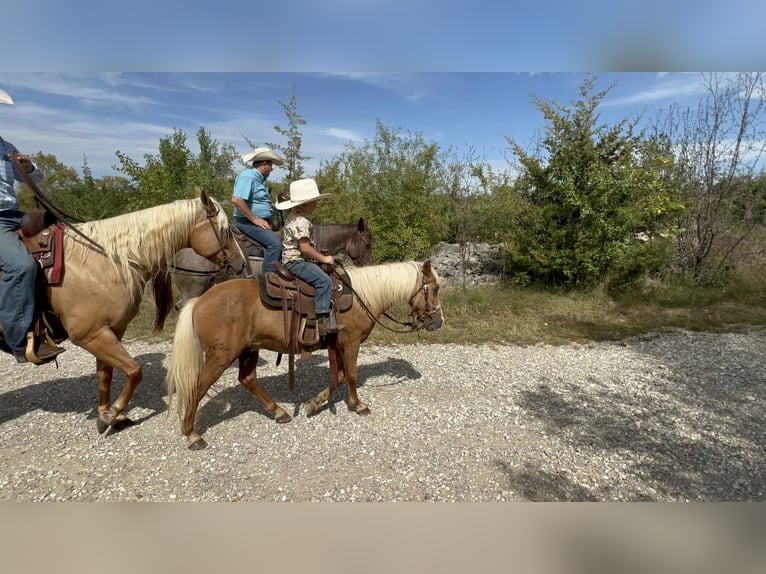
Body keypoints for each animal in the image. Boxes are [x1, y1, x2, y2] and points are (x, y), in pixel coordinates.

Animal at [0, 191, 246, 434]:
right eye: (224, 230)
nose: (241, 264)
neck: (103, 263)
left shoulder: (110, 331)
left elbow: (105, 374)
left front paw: (106, 414)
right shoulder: (89, 335)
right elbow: (134, 371)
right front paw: (112, 413)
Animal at [166, 260, 444, 450]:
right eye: (435, 289)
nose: (438, 322)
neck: (361, 296)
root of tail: (199, 301)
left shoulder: (339, 346)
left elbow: (339, 377)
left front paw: (313, 403)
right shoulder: (351, 343)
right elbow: (351, 376)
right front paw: (358, 405)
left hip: (249, 349)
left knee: (248, 379)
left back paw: (279, 412)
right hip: (222, 355)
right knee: (198, 386)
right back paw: (192, 435)